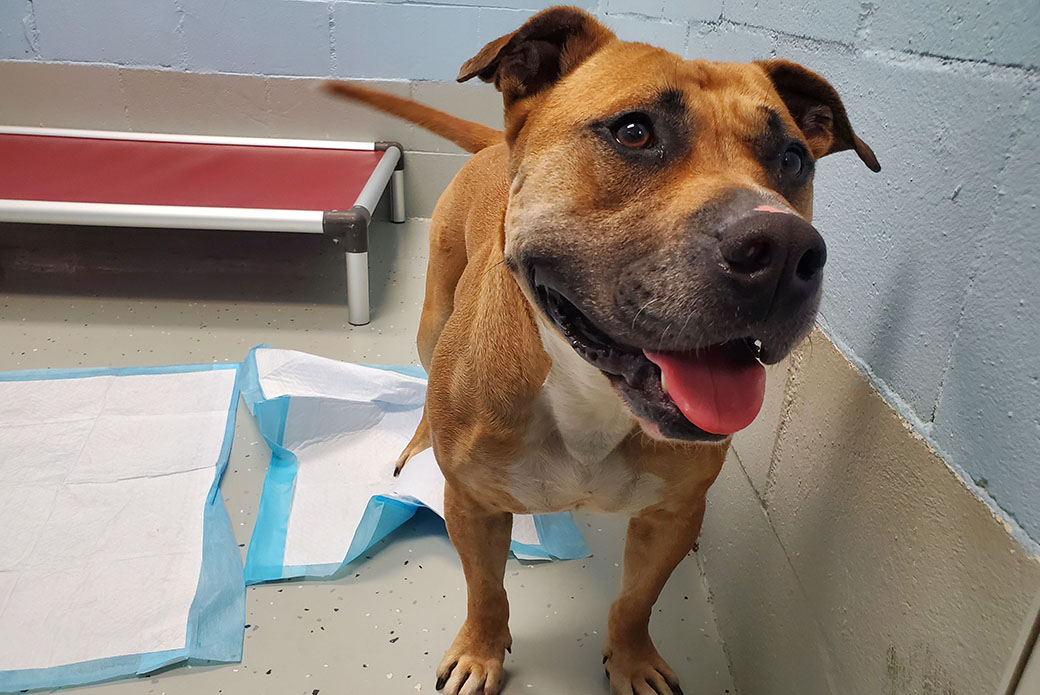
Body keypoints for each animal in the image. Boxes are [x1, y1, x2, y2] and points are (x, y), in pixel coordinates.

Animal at [324, 6, 877, 695]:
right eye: (634, 132)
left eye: (794, 159)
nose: (783, 249)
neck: (591, 394)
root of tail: (495, 144)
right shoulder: (474, 506)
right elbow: (486, 592)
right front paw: (481, 653)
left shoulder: (669, 518)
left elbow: (637, 600)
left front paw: (633, 659)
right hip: (433, 317)